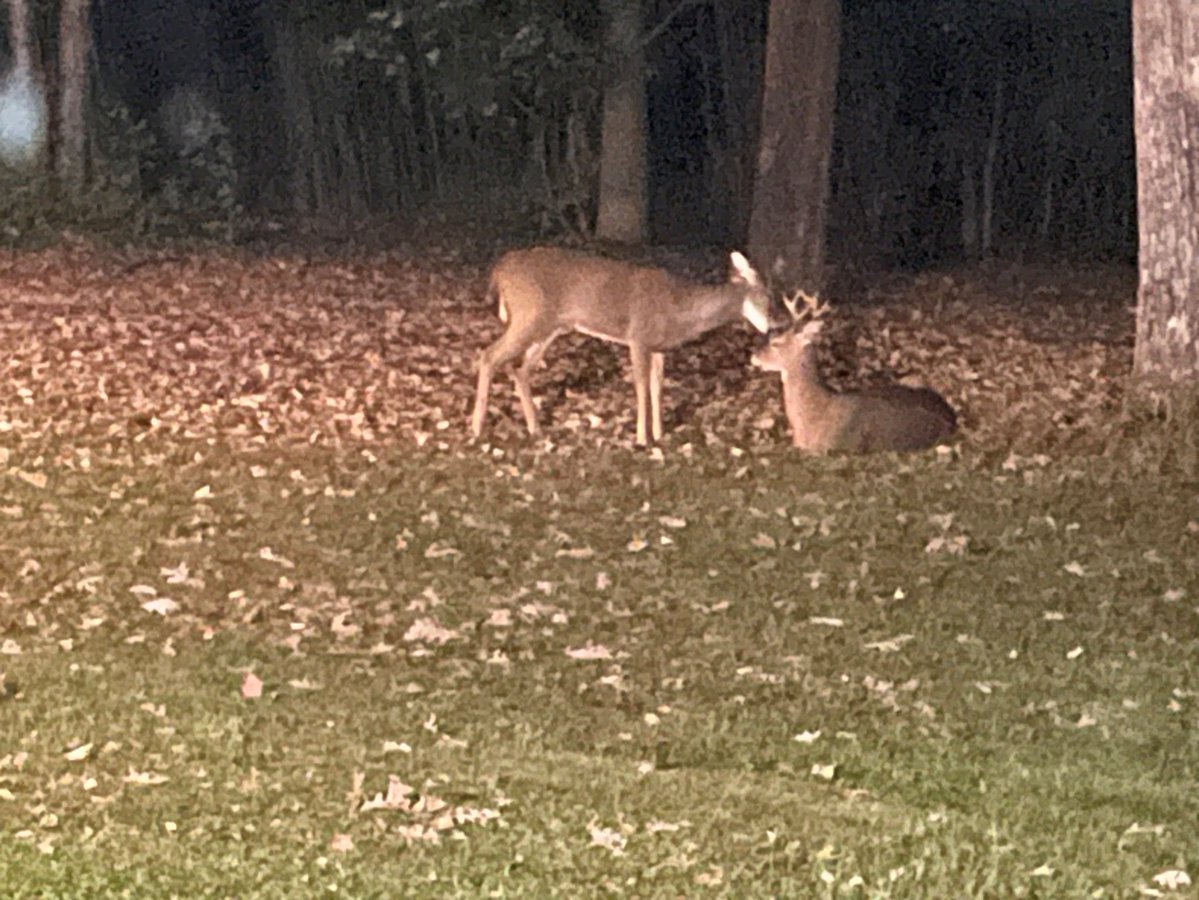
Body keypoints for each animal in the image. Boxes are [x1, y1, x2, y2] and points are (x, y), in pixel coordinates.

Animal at [470, 247, 773, 446]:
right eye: (766, 297)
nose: (771, 326)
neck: (678, 310)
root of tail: (499, 271)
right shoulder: (637, 337)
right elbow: (641, 386)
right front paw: (642, 439)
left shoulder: (657, 347)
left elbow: (657, 386)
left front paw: (660, 434)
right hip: (528, 314)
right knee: (489, 355)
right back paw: (476, 428)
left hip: (550, 327)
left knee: (520, 369)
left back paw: (535, 428)